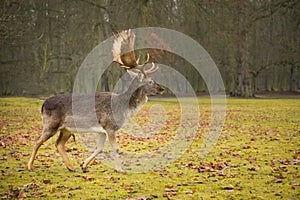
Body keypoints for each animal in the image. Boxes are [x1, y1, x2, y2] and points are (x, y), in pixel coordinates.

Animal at [27, 29, 164, 172]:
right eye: (150, 81)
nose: (162, 88)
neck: (123, 108)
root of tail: (43, 104)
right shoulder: (109, 126)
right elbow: (116, 149)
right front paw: (119, 169)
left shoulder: (101, 130)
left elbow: (99, 149)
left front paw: (84, 165)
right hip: (50, 124)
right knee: (37, 141)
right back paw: (30, 166)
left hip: (66, 129)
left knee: (58, 144)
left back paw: (71, 167)